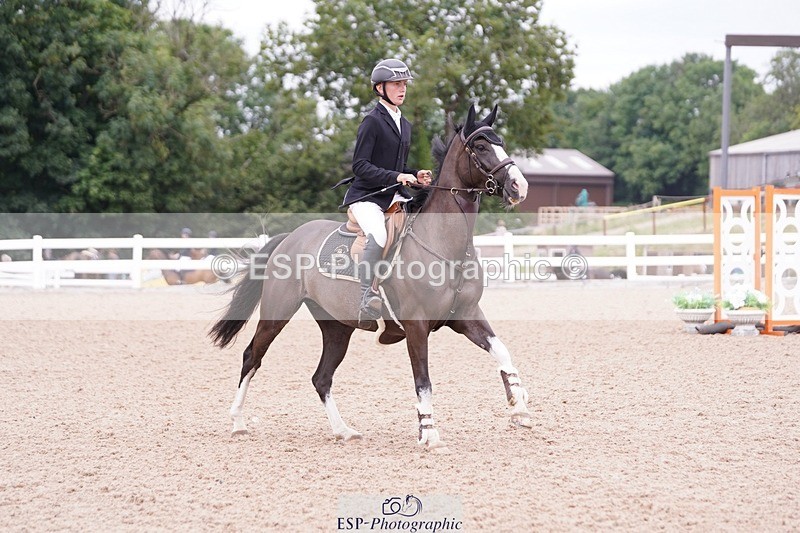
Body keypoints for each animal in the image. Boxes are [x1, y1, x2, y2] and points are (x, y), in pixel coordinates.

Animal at [209, 104, 531, 451]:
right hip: (277, 313)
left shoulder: (466, 316)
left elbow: (502, 352)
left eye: (501, 142)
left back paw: (343, 430)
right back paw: (238, 423)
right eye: (481, 146)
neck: (444, 244)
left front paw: (519, 407)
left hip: (337, 327)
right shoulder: (417, 326)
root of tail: (291, 237)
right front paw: (429, 434)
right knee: (252, 357)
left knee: (321, 377)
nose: (519, 187)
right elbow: (423, 382)